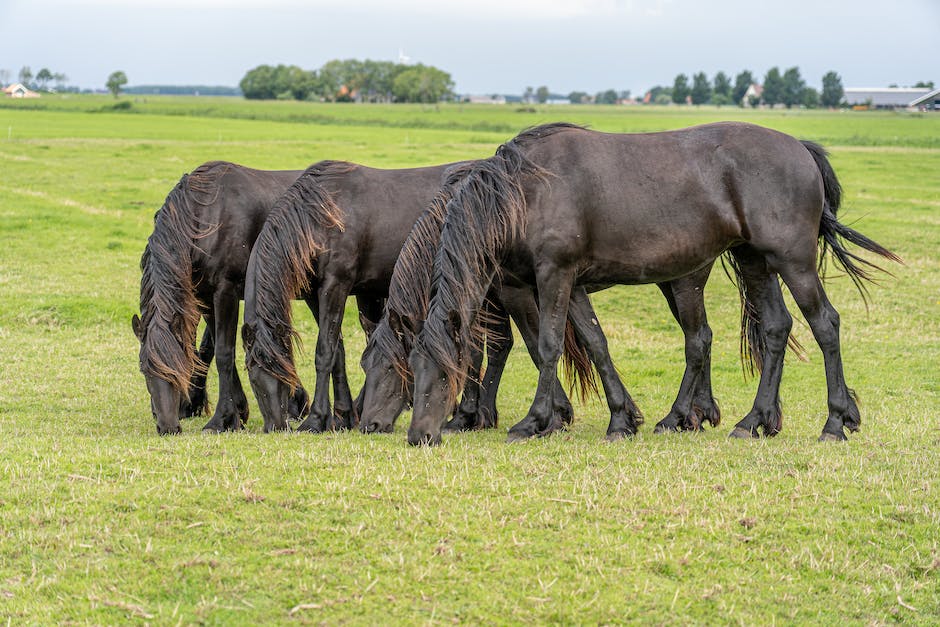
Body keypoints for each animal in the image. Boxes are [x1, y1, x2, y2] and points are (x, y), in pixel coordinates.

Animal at [132, 162, 368, 434]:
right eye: (143, 369)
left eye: (175, 368)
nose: (167, 426)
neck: (206, 216)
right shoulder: (206, 296)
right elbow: (214, 347)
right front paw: (237, 409)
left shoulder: (226, 291)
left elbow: (223, 353)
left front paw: (223, 417)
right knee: (339, 345)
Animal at [360, 169, 720, 440]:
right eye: (366, 366)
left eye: (394, 367)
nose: (369, 424)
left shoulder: (514, 291)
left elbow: (526, 346)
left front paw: (545, 416)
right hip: (669, 281)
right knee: (702, 334)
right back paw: (700, 412)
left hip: (683, 281)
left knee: (697, 337)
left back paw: (687, 415)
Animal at [408, 122, 900, 446]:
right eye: (412, 369)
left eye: (447, 372)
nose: (418, 436)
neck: (526, 191)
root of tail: (799, 147)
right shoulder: (574, 283)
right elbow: (596, 344)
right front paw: (621, 421)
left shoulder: (553, 275)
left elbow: (548, 346)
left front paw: (535, 420)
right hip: (755, 261)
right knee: (777, 329)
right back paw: (751, 421)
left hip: (792, 262)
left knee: (825, 325)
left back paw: (835, 423)